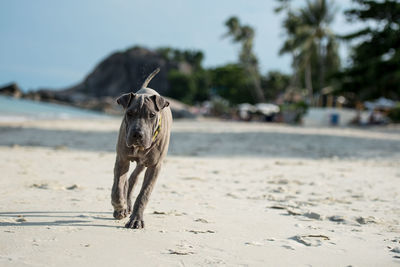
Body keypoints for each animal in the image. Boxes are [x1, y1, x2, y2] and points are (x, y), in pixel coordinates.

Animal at [111, 68, 172, 229]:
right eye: (129, 113)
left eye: (152, 115)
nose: (137, 134)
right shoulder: (122, 159)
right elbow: (117, 188)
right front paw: (120, 207)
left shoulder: (154, 166)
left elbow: (144, 194)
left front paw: (136, 219)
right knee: (127, 180)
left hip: (144, 163)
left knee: (133, 178)